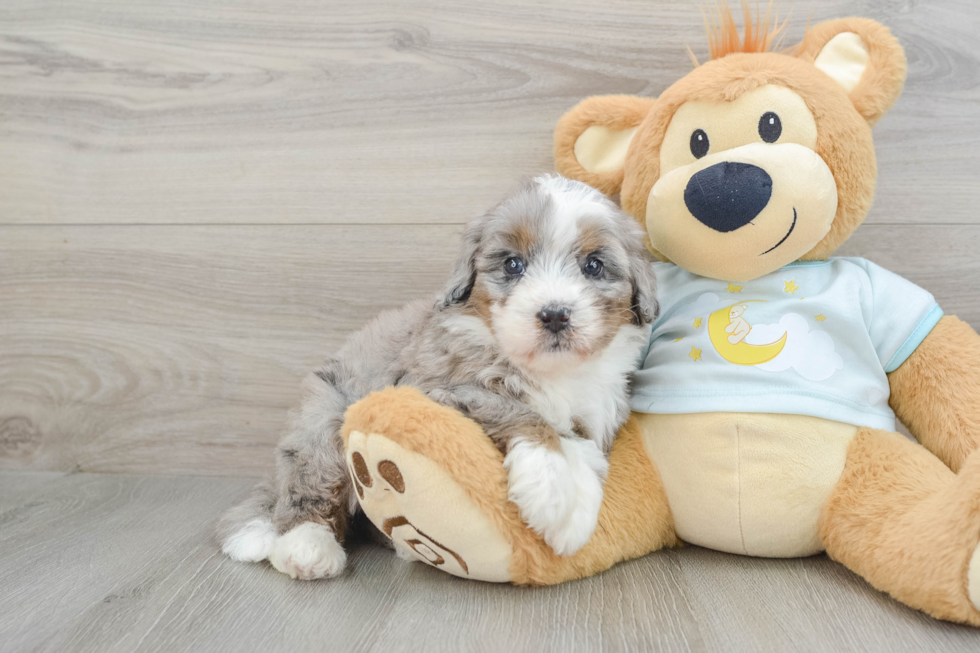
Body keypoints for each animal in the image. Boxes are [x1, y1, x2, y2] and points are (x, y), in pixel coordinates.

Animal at [218, 176, 656, 580]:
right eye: (513, 264)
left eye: (594, 265)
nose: (554, 314)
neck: (546, 370)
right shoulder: (433, 388)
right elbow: (515, 408)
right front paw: (556, 492)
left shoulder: (600, 408)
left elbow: (581, 440)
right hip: (323, 417)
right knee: (309, 488)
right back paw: (306, 547)